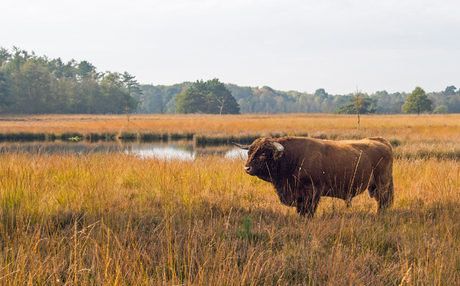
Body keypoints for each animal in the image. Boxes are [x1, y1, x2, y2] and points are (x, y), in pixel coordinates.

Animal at [235, 136, 394, 217]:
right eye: (249, 152)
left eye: (263, 153)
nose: (247, 168)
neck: (293, 157)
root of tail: (382, 141)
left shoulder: (311, 193)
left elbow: (308, 210)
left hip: (382, 184)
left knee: (383, 202)